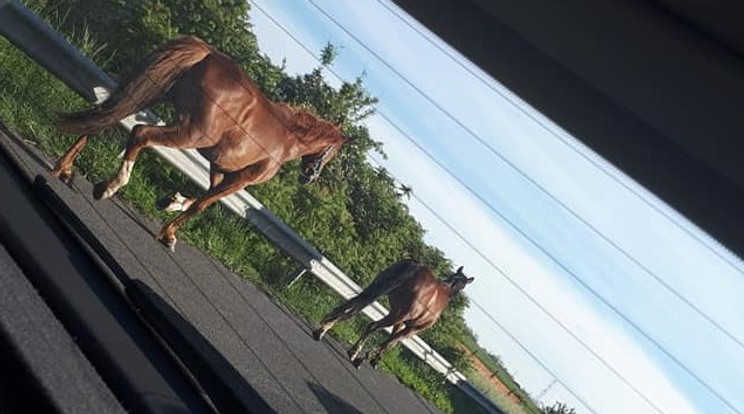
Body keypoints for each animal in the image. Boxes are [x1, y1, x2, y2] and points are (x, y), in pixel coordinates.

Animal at [55, 35, 352, 251]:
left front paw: (171, 202)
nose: (310, 176)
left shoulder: (219, 170)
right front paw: (168, 233)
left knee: (105, 117)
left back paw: (65, 170)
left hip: (151, 93)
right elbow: (203, 205)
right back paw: (109, 187)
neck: (287, 137)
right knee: (140, 133)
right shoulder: (240, 180)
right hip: (191, 132)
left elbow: (200, 197)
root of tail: (207, 53)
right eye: (332, 153)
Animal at [310, 258, 474, 368]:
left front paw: (373, 359)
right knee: (373, 326)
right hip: (396, 314)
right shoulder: (411, 328)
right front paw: (367, 359)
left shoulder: (401, 323)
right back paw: (354, 353)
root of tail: (414, 267)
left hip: (375, 293)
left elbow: (391, 340)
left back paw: (321, 331)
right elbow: (391, 342)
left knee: (351, 307)